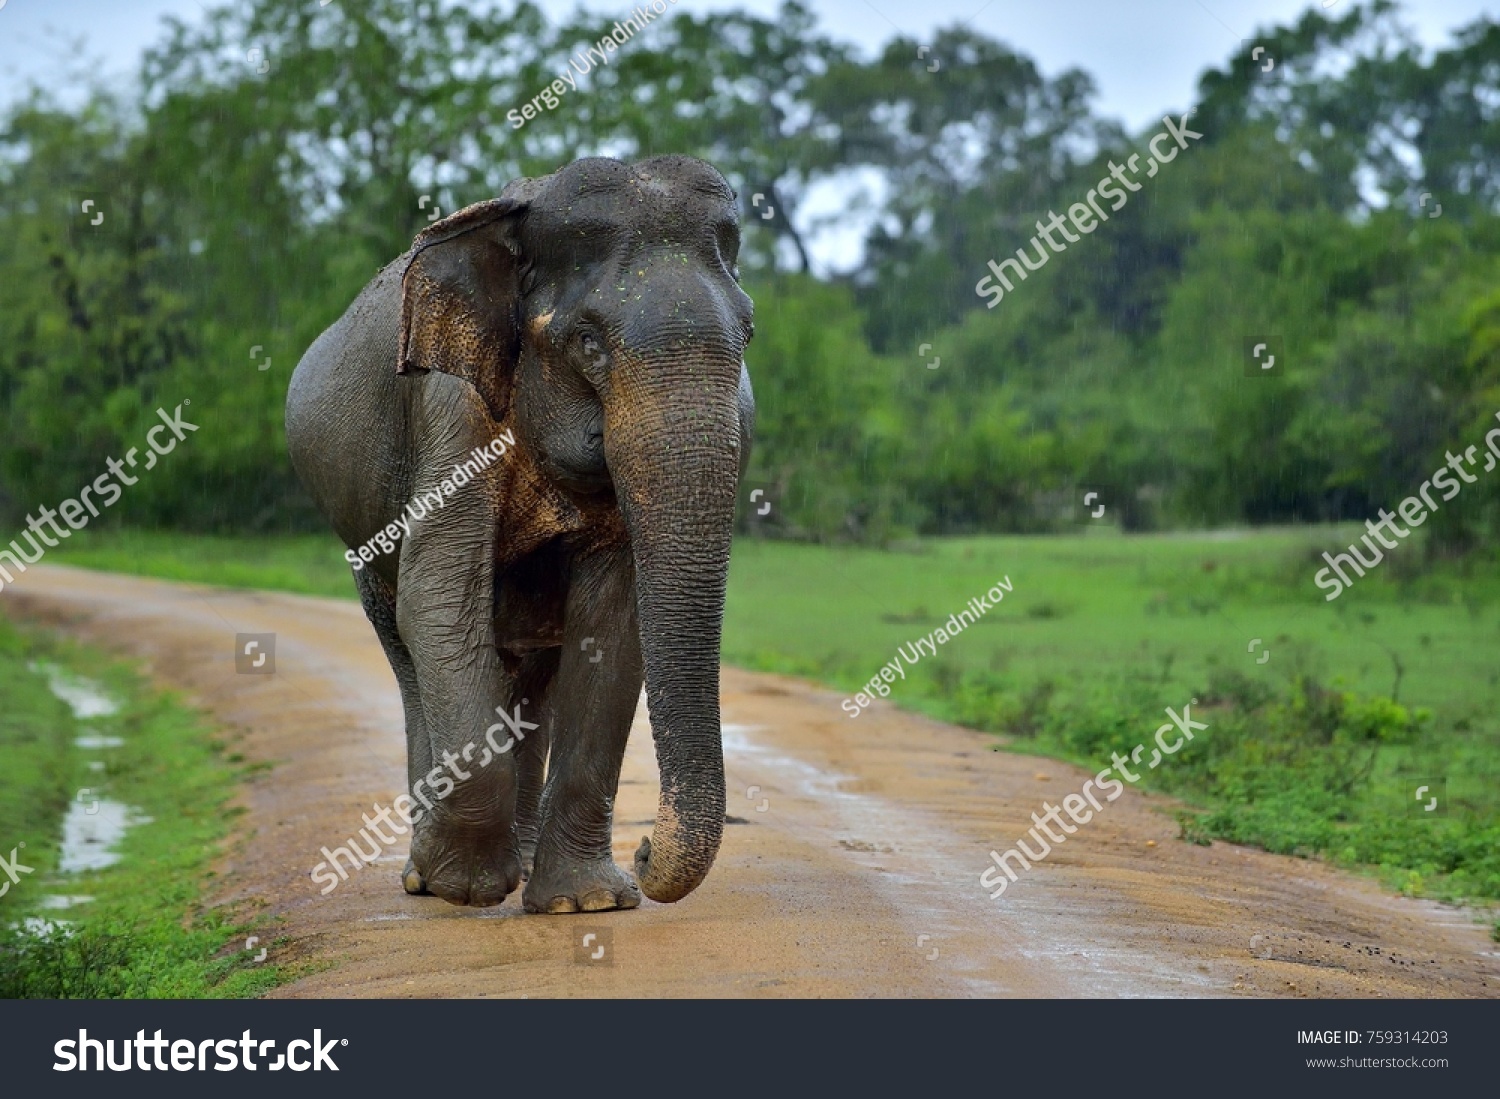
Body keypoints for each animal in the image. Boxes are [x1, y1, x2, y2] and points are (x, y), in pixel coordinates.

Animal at [282, 154, 756, 911]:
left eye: (749, 336)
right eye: (588, 342)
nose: (645, 850)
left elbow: (611, 625)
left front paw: (585, 900)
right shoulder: (450, 408)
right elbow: (438, 600)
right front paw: (468, 886)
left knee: (532, 673)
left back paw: (528, 866)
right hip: (360, 543)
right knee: (409, 647)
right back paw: (425, 876)